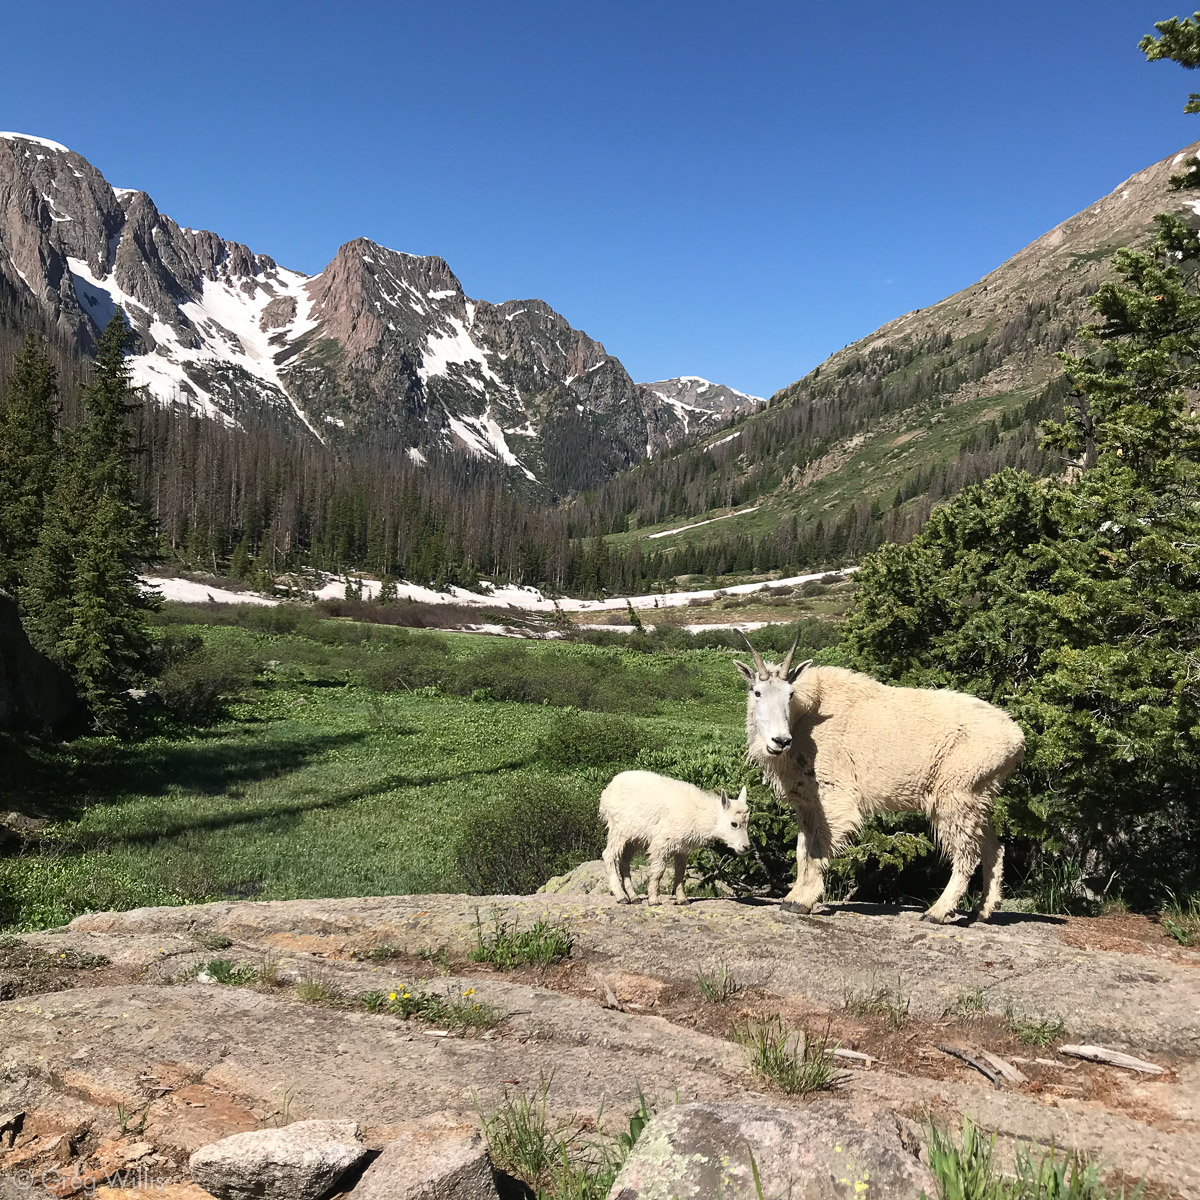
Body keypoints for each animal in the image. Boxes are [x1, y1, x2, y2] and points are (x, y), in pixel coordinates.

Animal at [734, 633, 1027, 921]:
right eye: (757, 692)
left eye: (790, 694)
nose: (780, 741)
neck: (804, 718)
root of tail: (1016, 738)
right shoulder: (806, 800)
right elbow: (801, 850)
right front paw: (793, 895)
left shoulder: (834, 793)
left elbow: (818, 847)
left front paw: (802, 901)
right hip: (978, 793)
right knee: (993, 847)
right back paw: (982, 910)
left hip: (955, 793)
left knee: (967, 853)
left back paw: (937, 911)